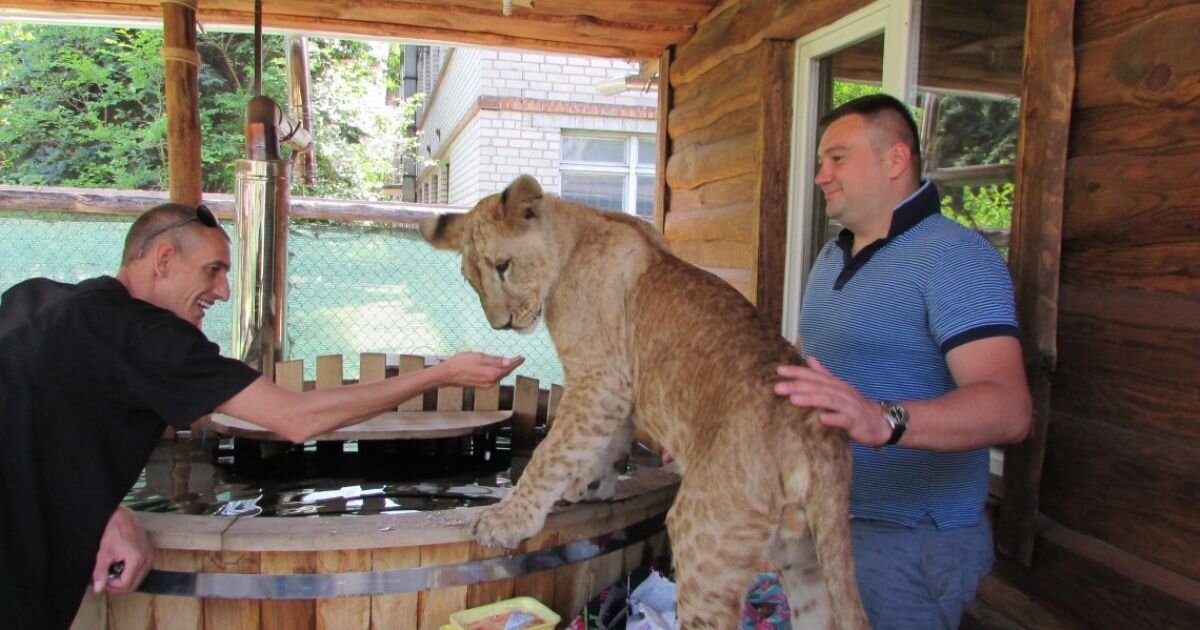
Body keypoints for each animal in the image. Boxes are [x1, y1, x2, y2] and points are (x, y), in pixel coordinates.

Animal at [419, 174, 869, 629]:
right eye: (472, 281)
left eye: (503, 266)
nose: (501, 325)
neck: (573, 237)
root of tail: (816, 430)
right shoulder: (617, 385)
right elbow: (607, 441)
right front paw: (592, 485)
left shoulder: (599, 378)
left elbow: (553, 452)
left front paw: (509, 520)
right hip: (805, 557)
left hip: (705, 539)